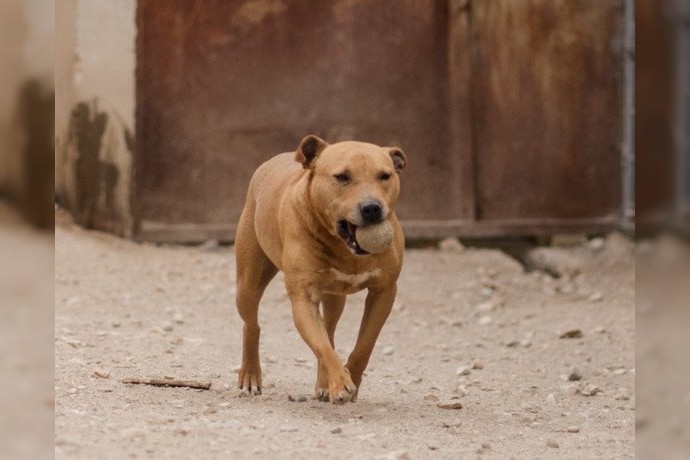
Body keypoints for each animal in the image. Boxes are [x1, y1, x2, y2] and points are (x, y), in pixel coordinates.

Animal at [234, 134, 404, 402]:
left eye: (384, 176)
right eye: (342, 177)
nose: (372, 207)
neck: (345, 246)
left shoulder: (384, 291)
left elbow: (364, 344)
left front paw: (350, 377)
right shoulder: (303, 297)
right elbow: (322, 346)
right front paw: (340, 382)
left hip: (335, 297)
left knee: (330, 328)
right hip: (248, 283)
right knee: (252, 325)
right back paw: (250, 375)